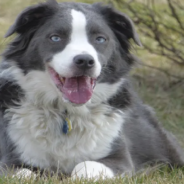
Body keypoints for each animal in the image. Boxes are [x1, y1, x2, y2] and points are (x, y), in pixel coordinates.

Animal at [0, 0, 184, 180]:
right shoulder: (10, 158)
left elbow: (85, 166)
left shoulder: (119, 159)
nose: (85, 61)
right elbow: (24, 174)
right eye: (55, 38)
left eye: (100, 39)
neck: (67, 113)